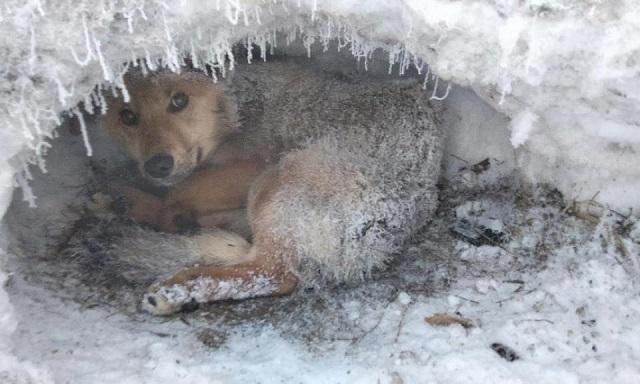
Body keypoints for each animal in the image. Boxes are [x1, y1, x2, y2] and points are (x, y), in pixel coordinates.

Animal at [102, 60, 442, 316]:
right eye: (127, 117)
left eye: (179, 101)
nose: (157, 165)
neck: (238, 104)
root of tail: (380, 239)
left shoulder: (253, 165)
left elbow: (179, 190)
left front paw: (136, 200)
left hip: (278, 181)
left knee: (270, 273)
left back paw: (179, 288)